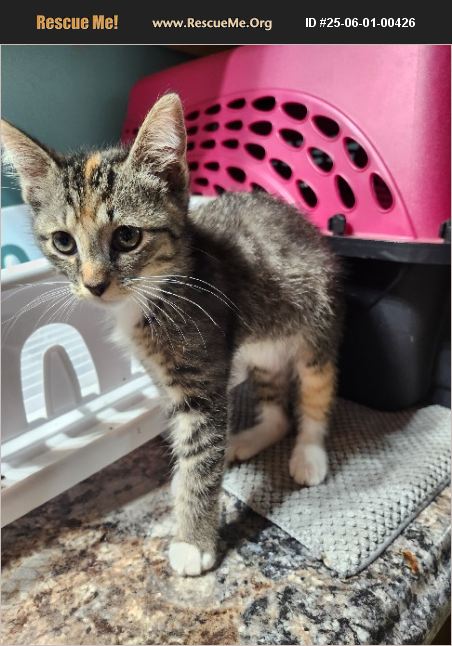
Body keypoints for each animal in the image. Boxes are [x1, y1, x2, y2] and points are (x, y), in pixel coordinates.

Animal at [1, 93, 342, 576]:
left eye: (127, 236)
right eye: (64, 242)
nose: (93, 284)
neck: (159, 289)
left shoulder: (202, 382)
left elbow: (199, 461)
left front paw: (193, 543)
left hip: (317, 324)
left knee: (315, 394)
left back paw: (308, 455)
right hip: (263, 350)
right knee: (277, 411)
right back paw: (249, 439)